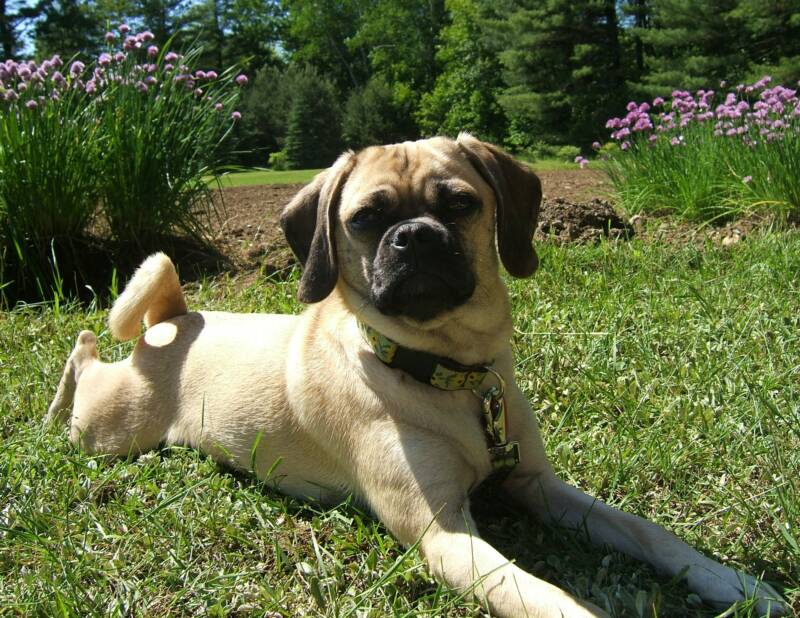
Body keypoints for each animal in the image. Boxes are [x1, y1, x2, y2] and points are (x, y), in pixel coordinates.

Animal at [48, 136, 788, 616]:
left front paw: (734, 584)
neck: (451, 374)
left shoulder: (540, 486)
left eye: (459, 204)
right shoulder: (446, 537)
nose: (417, 236)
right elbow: (547, 598)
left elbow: (647, 533)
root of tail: (177, 317)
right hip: (110, 430)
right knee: (84, 353)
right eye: (367, 219)